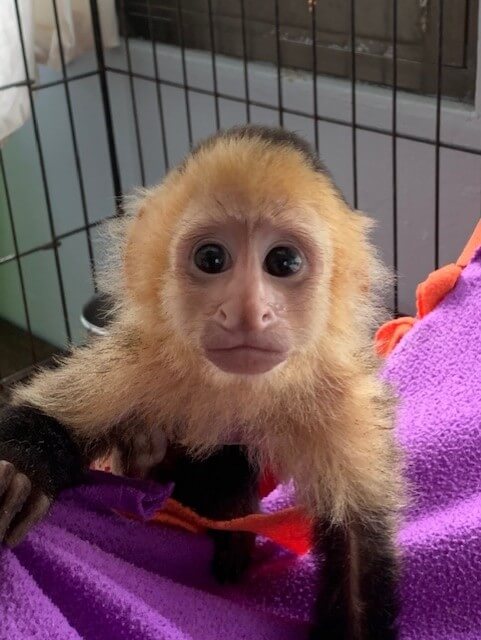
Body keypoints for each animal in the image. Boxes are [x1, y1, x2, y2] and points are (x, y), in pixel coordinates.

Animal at [0, 125, 402, 640]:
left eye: (283, 262)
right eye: (211, 258)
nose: (248, 310)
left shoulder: (338, 396)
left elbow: (356, 552)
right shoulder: (141, 360)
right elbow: (46, 418)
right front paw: (20, 471)